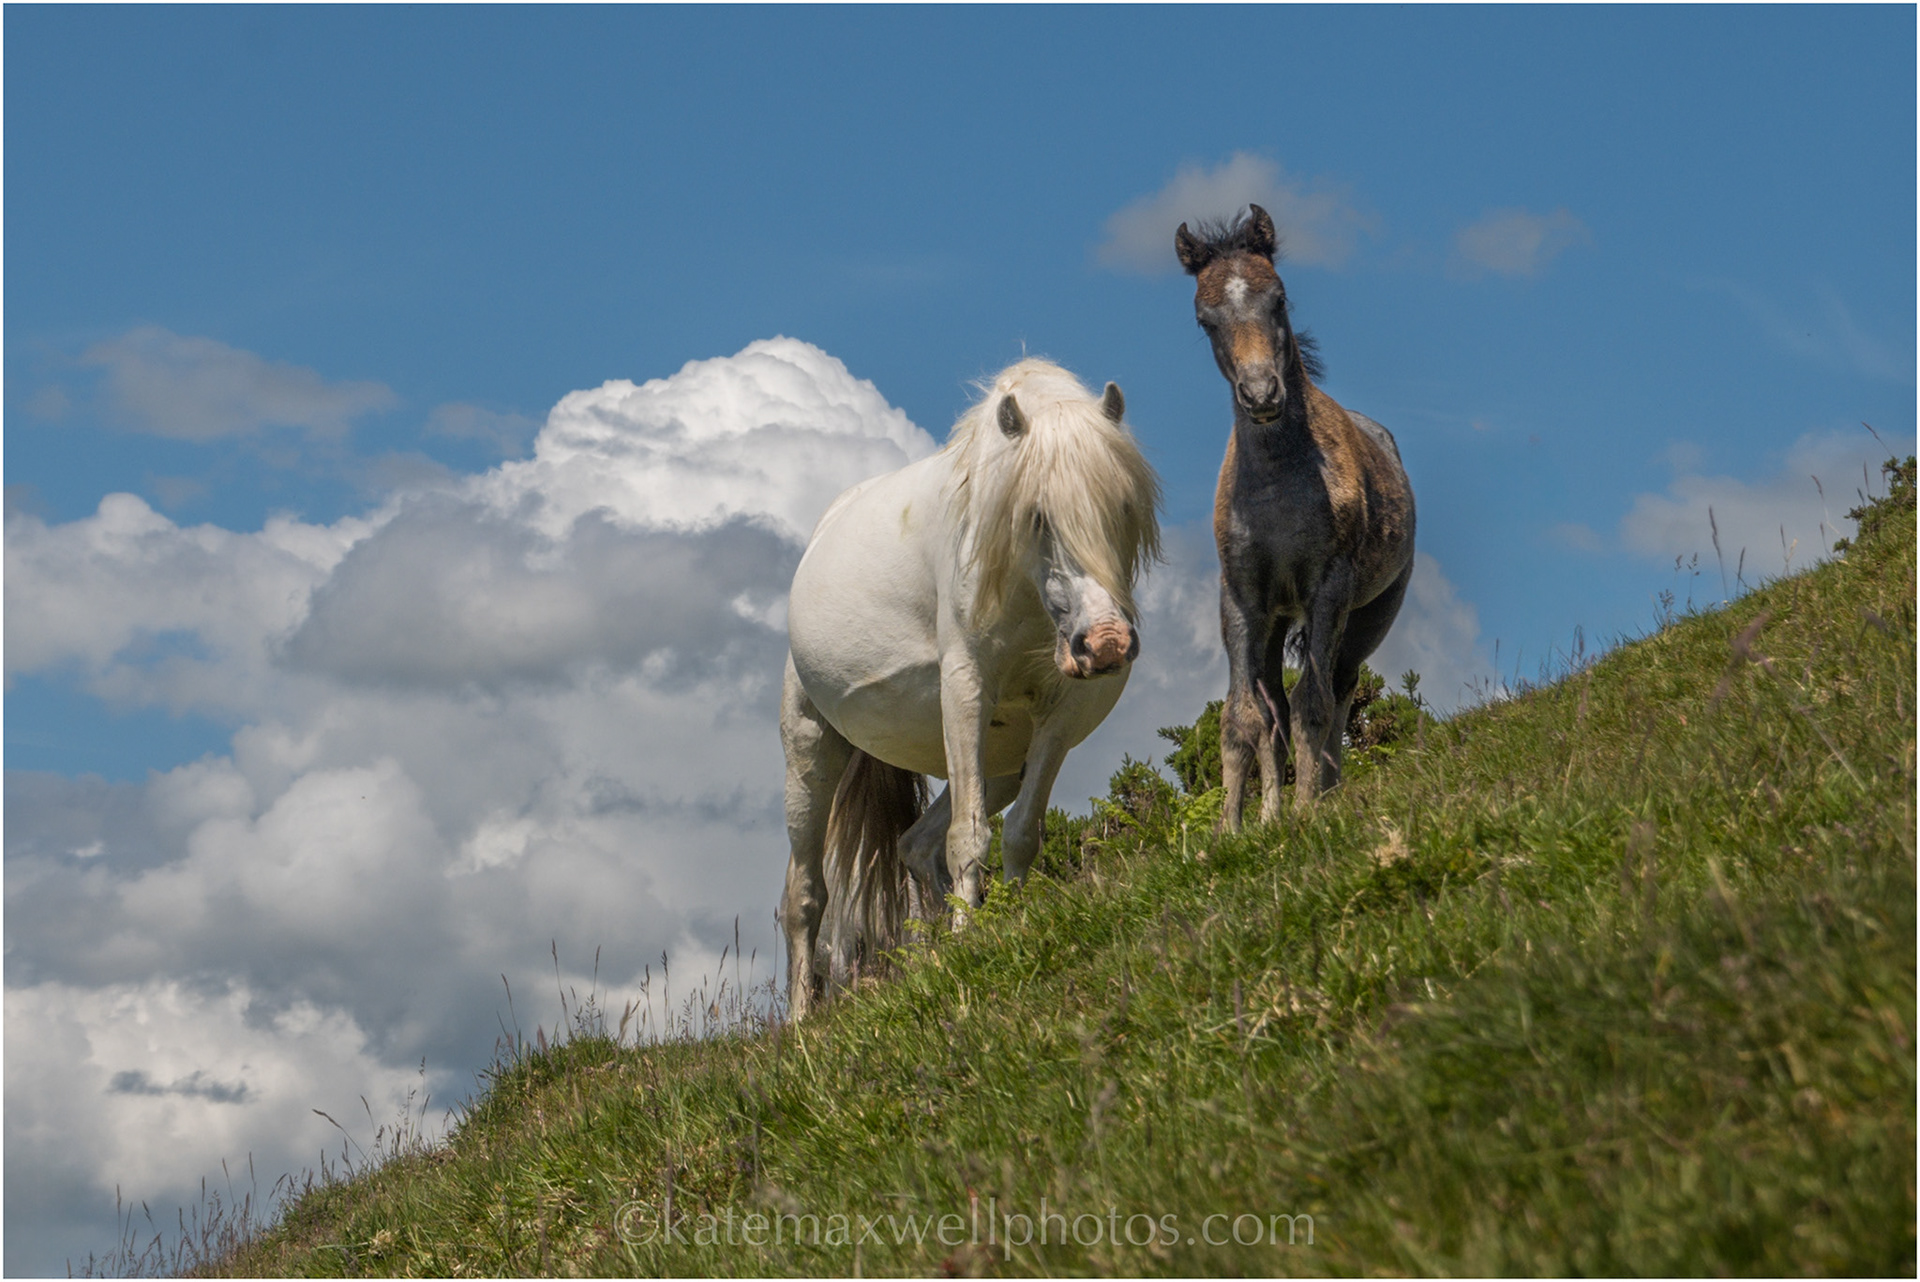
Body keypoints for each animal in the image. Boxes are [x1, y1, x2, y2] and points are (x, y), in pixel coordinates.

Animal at [780, 358, 1162, 1017]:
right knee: (805, 896)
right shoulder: (965, 694)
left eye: (1121, 506)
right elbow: (969, 837)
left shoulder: (1060, 718)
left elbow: (1021, 834)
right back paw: (803, 1019)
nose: (1107, 642)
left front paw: (1004, 925)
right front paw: (966, 945)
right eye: (1036, 515)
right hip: (810, 755)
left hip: (1003, 765)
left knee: (913, 844)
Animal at [1175, 204, 1415, 830]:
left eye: (1278, 298)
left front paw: (1307, 809)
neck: (1278, 489)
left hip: (1369, 616)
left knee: (1340, 687)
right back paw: (1271, 813)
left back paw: (1327, 790)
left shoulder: (1328, 588)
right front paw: (1233, 829)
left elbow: (1313, 701)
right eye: (1205, 319)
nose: (1262, 394)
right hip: (1277, 620)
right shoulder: (1242, 599)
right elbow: (1244, 716)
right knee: (1276, 707)